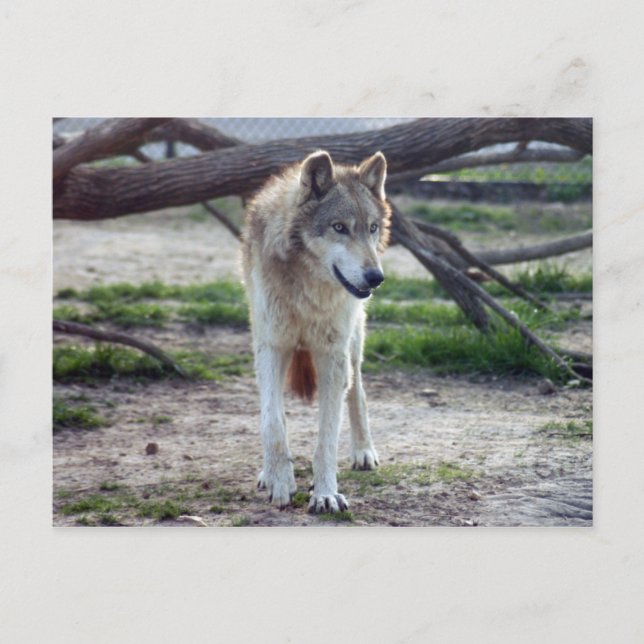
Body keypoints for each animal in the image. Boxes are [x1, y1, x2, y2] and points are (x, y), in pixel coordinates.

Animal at [241, 150, 391, 513]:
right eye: (339, 228)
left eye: (372, 228)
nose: (375, 277)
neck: (307, 289)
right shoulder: (272, 346)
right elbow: (272, 421)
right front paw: (280, 482)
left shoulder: (331, 356)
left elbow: (328, 437)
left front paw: (325, 493)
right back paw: (269, 473)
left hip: (352, 345)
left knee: (357, 391)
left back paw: (363, 452)